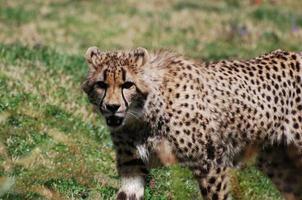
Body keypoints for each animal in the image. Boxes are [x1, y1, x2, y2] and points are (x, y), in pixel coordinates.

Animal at [82, 47, 302, 200]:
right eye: (101, 84)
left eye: (128, 84)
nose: (112, 107)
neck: (142, 116)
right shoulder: (132, 167)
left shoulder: (211, 164)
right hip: (278, 161)